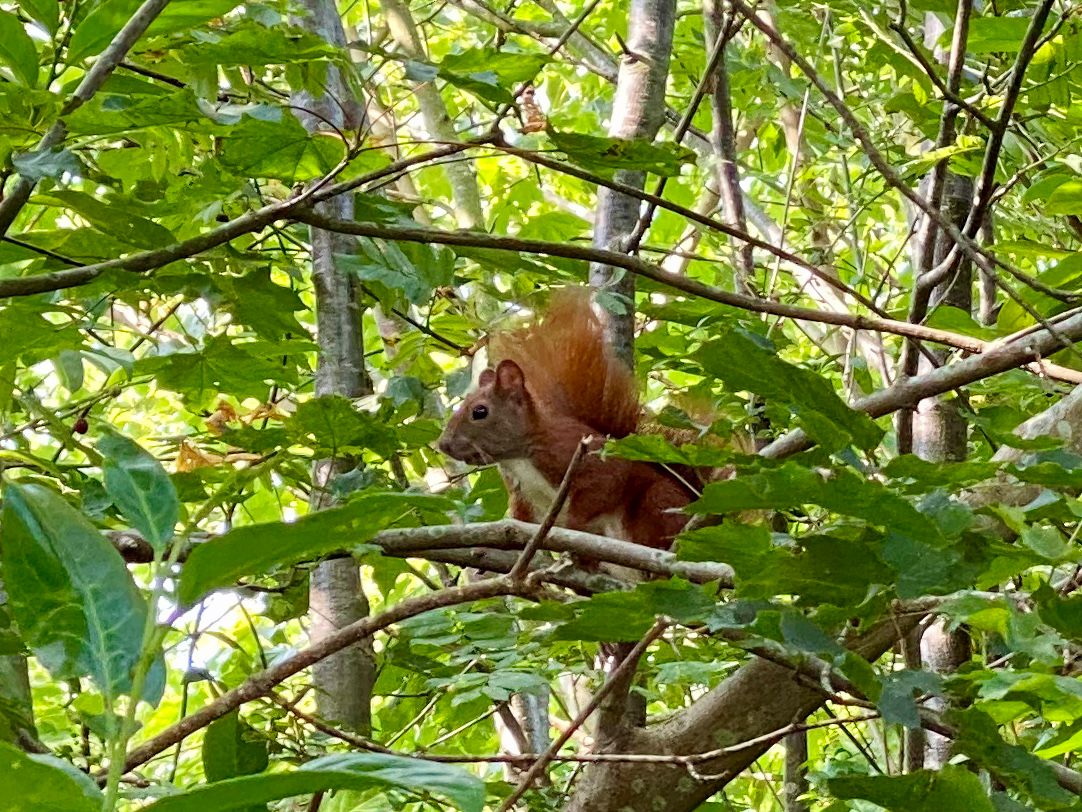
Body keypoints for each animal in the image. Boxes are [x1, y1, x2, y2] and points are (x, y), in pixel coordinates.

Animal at [437, 288, 704, 550]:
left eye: (479, 412)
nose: (443, 445)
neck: (520, 457)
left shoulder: (581, 453)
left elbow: (605, 483)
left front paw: (574, 523)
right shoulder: (522, 495)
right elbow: (519, 522)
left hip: (657, 504)